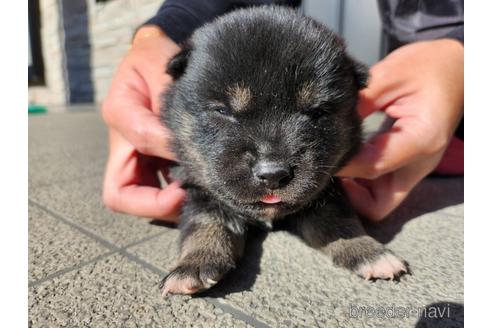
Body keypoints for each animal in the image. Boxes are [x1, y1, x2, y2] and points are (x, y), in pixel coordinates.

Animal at [159, 6, 408, 296]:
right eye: (222, 111)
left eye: (317, 112)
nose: (272, 174)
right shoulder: (199, 189)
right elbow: (204, 223)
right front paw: (193, 265)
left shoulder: (327, 187)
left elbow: (338, 220)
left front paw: (369, 251)